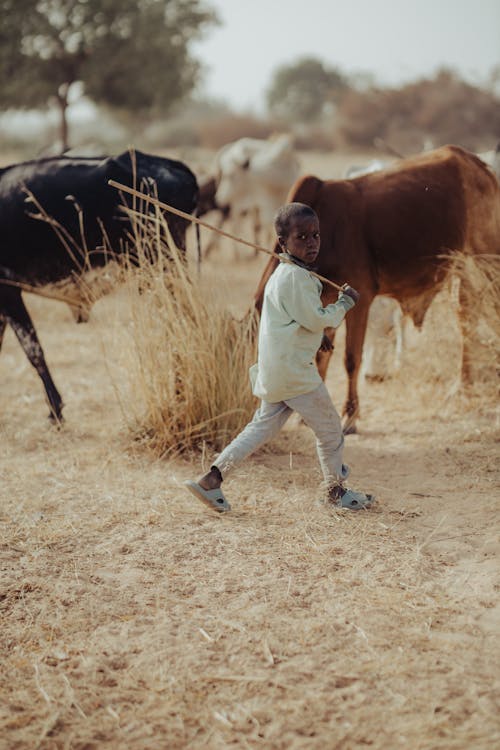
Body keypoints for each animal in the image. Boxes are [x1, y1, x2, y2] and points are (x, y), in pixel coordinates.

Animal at [256, 146, 500, 434]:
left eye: (312, 234)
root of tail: (478, 165)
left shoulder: (359, 300)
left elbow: (351, 359)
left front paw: (350, 416)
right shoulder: (323, 304)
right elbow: (321, 355)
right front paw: (308, 417)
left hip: (487, 260)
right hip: (465, 269)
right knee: (467, 320)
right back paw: (462, 386)